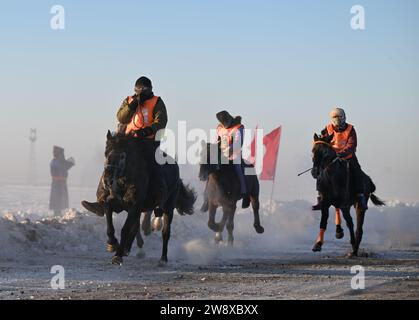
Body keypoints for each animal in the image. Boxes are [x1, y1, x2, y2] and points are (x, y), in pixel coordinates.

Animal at [102, 130, 196, 264]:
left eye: (122, 156)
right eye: (106, 153)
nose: (107, 180)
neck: (126, 182)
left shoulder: (134, 206)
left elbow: (125, 229)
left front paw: (118, 255)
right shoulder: (116, 203)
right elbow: (109, 218)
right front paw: (112, 243)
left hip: (168, 207)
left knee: (165, 232)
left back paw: (163, 259)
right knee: (136, 227)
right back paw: (128, 248)